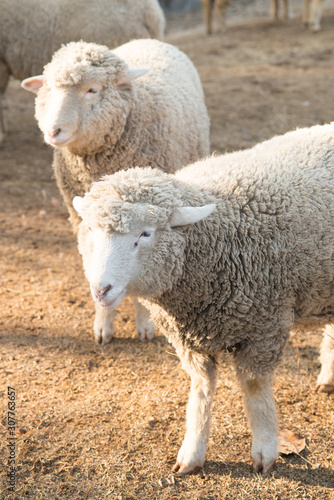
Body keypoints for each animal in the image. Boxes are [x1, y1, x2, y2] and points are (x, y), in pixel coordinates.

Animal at [22, 39, 211, 346]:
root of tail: (151, 41)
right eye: (48, 88)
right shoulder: (83, 219)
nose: (53, 131)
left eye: (92, 89)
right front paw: (103, 324)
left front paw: (144, 323)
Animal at [72, 123, 334, 474]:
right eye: (89, 229)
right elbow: (201, 390)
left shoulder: (264, 327)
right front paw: (192, 454)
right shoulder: (191, 339)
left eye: (145, 233)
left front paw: (265, 452)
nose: (101, 289)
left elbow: (255, 389)